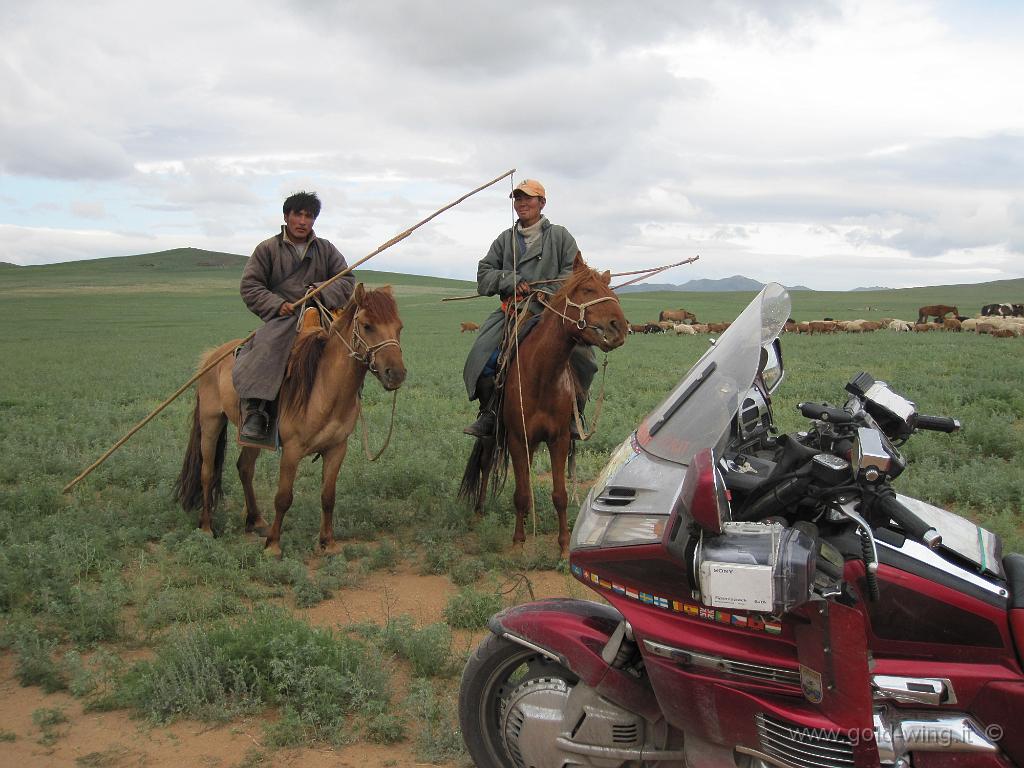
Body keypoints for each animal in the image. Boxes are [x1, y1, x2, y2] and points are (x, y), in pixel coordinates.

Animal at [174, 286, 405, 557]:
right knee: (207, 472)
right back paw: (207, 528)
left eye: (399, 327)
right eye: (368, 326)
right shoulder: (293, 450)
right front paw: (273, 545)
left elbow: (328, 496)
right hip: (211, 421)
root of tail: (213, 355)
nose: (396, 374)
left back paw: (255, 520)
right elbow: (283, 497)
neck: (326, 388)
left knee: (245, 468)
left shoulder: (337, 448)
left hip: (254, 436)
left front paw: (328, 543)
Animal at [460, 253, 626, 561]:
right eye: (588, 290)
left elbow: (559, 495)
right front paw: (518, 542)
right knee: (486, 464)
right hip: (493, 433)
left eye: (611, 291)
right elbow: (521, 493)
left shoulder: (558, 439)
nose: (618, 328)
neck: (541, 374)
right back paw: (478, 512)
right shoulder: (517, 438)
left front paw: (562, 545)